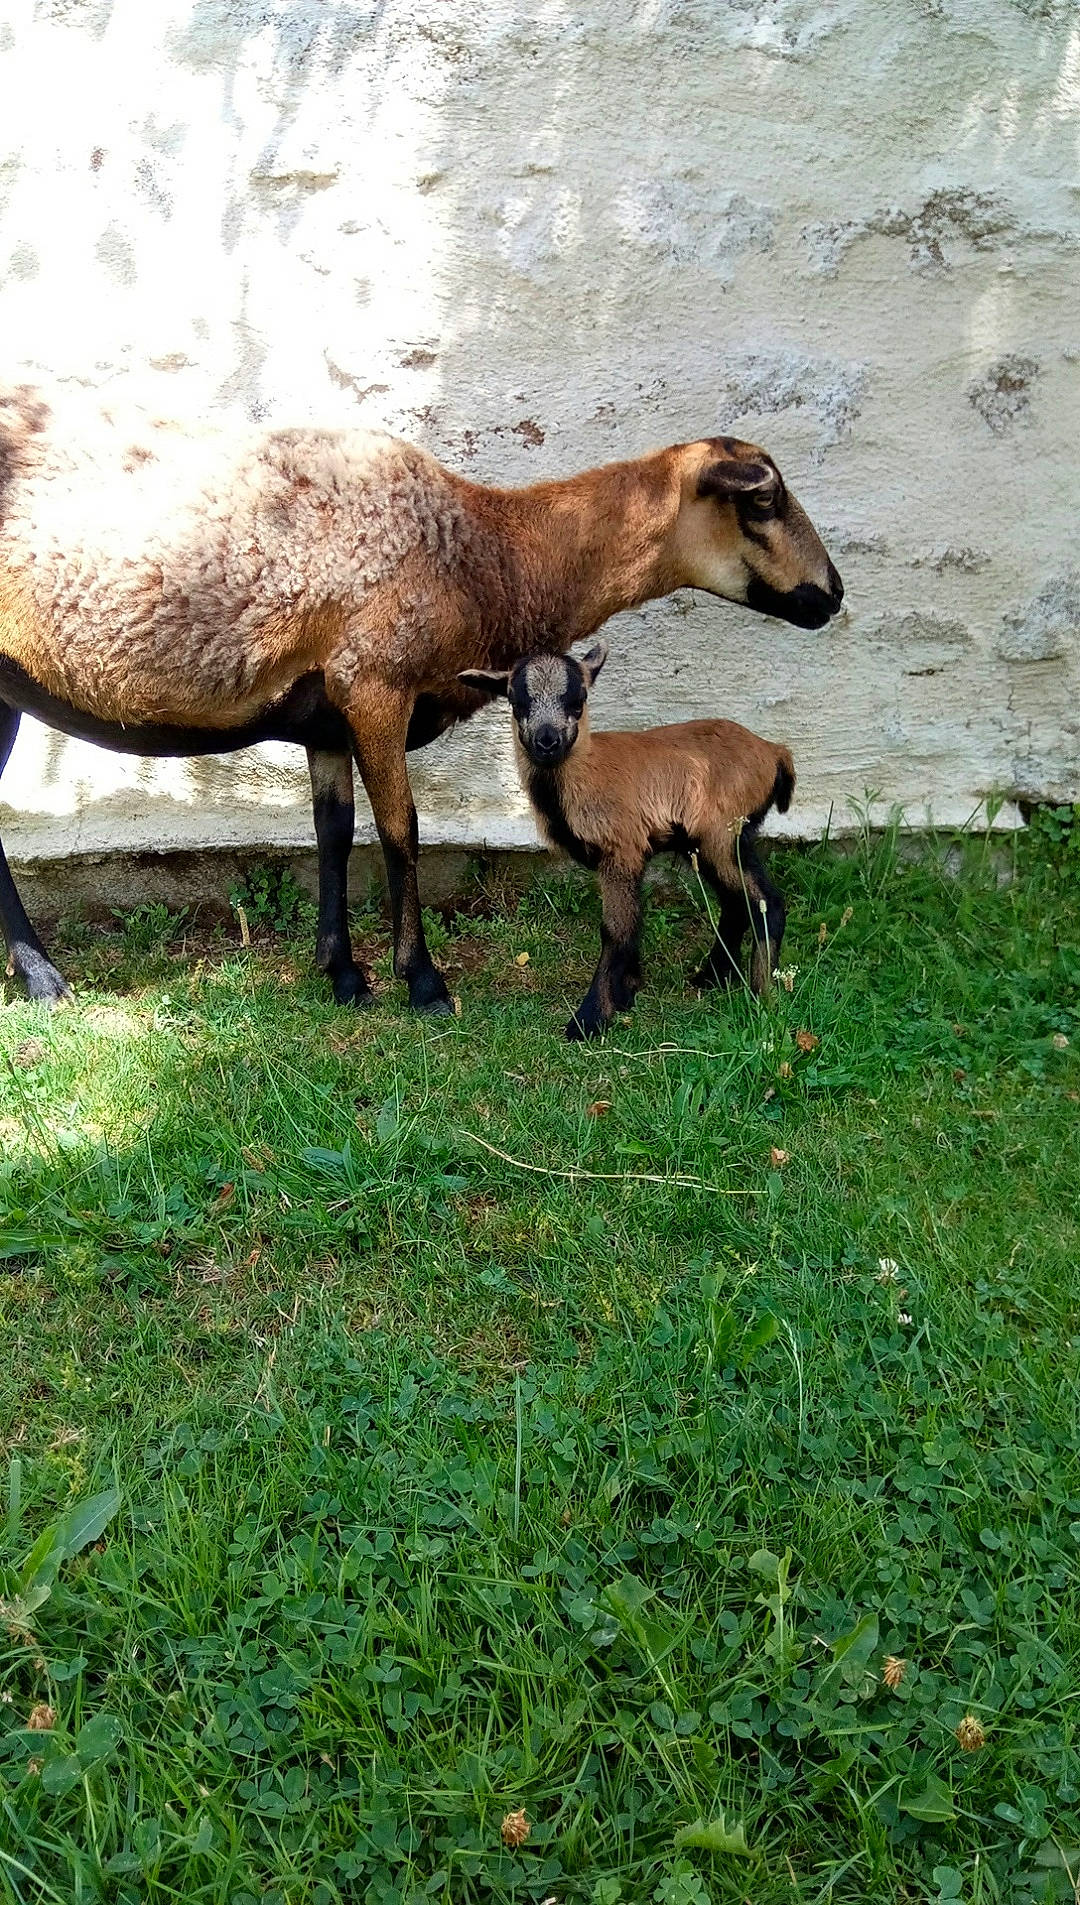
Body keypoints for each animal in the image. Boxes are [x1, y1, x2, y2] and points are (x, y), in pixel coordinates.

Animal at [460, 645, 795, 1039]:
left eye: (578, 701)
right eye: (516, 702)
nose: (547, 741)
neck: (584, 773)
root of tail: (773, 752)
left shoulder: (621, 849)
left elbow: (615, 930)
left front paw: (590, 1019)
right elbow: (632, 923)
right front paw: (627, 992)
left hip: (723, 833)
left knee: (765, 901)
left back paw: (761, 995)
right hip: (707, 842)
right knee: (735, 902)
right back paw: (712, 976)